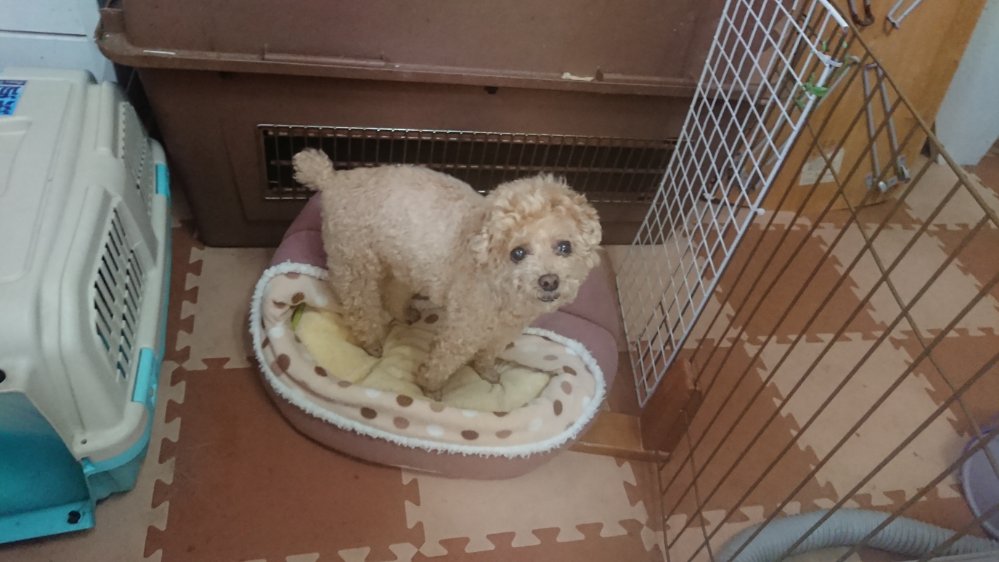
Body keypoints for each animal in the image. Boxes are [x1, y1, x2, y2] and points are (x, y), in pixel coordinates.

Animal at [292, 149, 601, 399]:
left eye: (565, 247)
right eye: (517, 253)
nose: (549, 281)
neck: (502, 289)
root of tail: (332, 180)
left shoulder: (504, 330)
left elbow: (489, 353)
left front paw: (488, 372)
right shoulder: (463, 329)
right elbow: (443, 361)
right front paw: (430, 390)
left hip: (403, 262)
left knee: (393, 290)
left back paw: (405, 314)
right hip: (354, 262)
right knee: (361, 308)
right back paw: (373, 344)